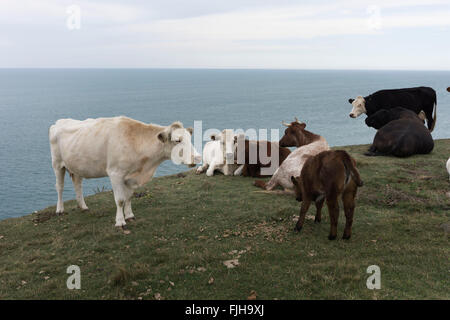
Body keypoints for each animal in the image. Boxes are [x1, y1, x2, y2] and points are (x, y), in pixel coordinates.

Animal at [48, 115, 200, 228]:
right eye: (177, 140)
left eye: (189, 138)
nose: (197, 157)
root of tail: (58, 122)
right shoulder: (115, 173)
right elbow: (120, 199)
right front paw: (120, 221)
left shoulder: (131, 176)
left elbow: (129, 197)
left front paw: (130, 215)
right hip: (57, 163)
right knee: (59, 187)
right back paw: (59, 210)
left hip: (77, 166)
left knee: (77, 184)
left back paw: (83, 206)